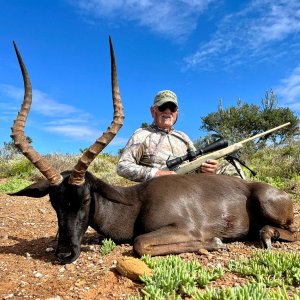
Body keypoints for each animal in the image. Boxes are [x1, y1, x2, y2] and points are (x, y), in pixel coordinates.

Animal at [9, 38, 300, 264]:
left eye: (84, 200)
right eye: (54, 203)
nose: (64, 254)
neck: (136, 202)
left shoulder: (183, 229)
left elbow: (140, 243)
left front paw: (216, 242)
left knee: (289, 232)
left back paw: (265, 236)